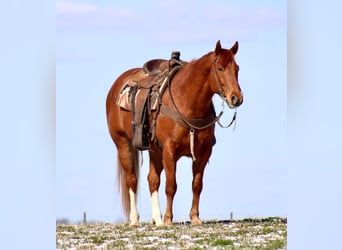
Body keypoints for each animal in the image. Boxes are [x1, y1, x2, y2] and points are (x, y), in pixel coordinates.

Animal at [107, 40, 243, 227]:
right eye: (221, 68)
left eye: (237, 68)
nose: (236, 98)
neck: (187, 101)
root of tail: (116, 87)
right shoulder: (170, 151)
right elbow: (171, 186)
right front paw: (168, 219)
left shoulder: (204, 152)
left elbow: (197, 185)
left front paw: (195, 218)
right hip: (123, 145)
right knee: (132, 180)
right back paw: (135, 220)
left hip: (154, 150)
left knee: (152, 180)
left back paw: (156, 219)